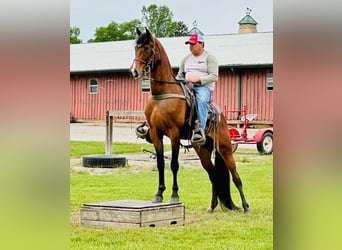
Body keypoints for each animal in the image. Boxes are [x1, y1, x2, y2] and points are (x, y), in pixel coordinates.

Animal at [128, 27, 248, 213]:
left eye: (147, 47)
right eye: (136, 47)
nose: (134, 71)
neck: (162, 95)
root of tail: (219, 115)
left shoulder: (174, 134)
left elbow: (174, 164)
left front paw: (174, 195)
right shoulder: (156, 134)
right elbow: (161, 163)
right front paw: (158, 194)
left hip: (225, 148)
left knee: (235, 176)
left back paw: (245, 206)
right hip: (202, 150)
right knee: (213, 174)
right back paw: (212, 206)